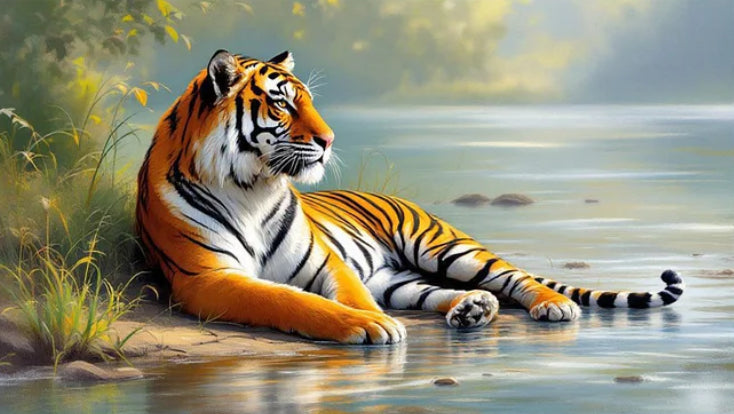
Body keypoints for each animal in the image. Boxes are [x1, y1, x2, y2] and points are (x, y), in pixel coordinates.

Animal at [135, 50, 685, 344]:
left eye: (308, 101)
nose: (329, 139)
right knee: (433, 292)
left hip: (445, 247)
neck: (252, 184)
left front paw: (375, 324)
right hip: (396, 278)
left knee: (517, 277)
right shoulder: (208, 279)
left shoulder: (327, 262)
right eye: (282, 104)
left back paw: (552, 306)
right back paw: (472, 309)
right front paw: (370, 327)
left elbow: (345, 293)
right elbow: (289, 300)